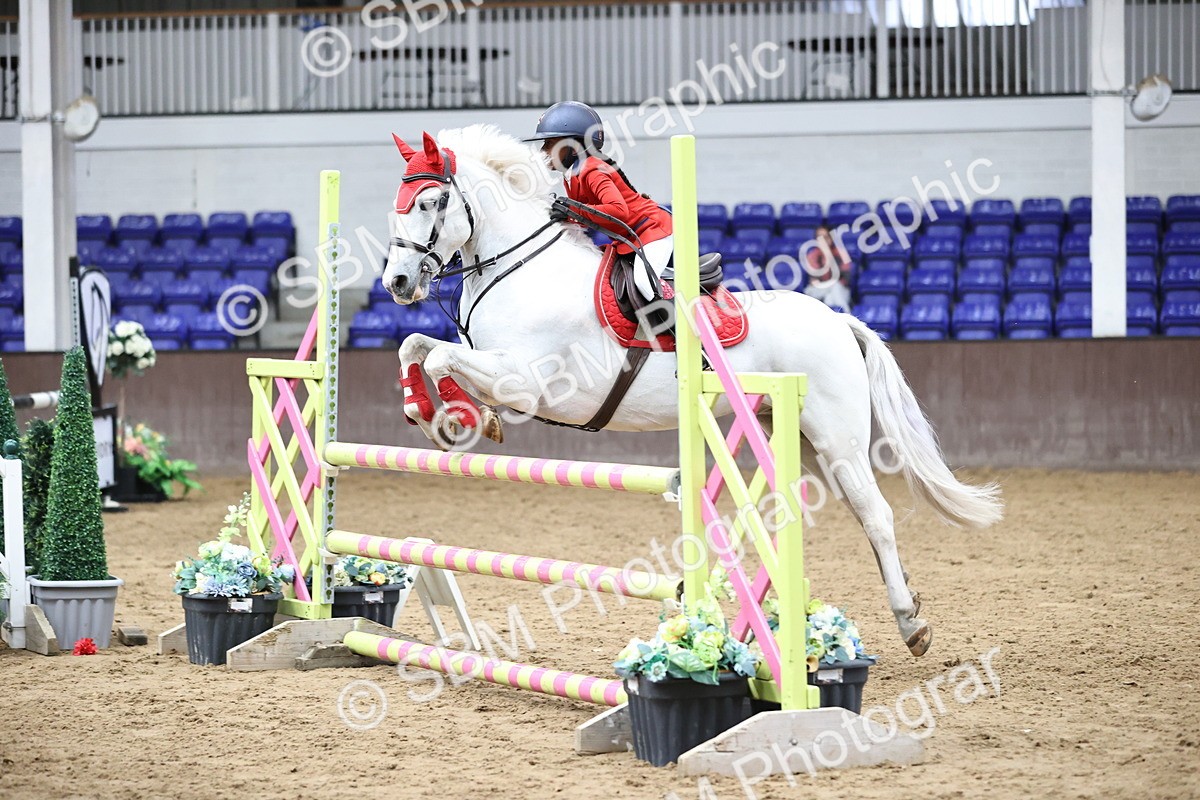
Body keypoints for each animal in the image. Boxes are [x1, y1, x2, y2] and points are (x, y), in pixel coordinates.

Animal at [382, 124, 1003, 658]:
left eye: (431, 202)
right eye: (399, 203)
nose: (398, 282)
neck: (518, 270)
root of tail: (837, 320)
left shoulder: (529, 383)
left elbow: (439, 354)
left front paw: (460, 420)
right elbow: (415, 345)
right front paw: (428, 411)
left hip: (838, 434)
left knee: (876, 515)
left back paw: (911, 624)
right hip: (793, 434)